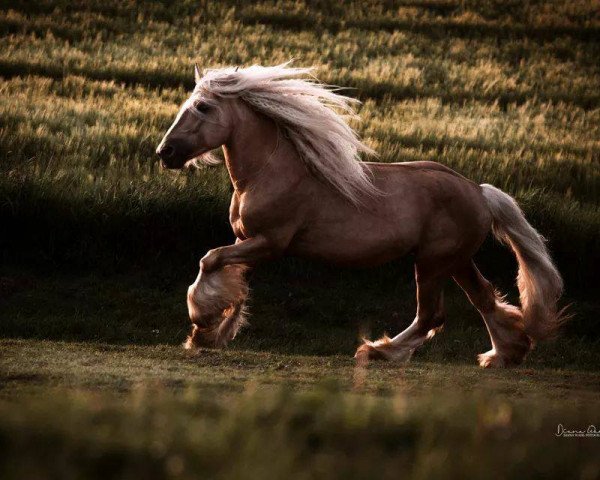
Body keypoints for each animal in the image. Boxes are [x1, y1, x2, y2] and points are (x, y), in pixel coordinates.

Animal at [156, 62, 568, 366]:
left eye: (203, 107)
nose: (165, 153)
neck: (270, 173)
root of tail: (479, 192)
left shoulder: (270, 242)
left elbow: (211, 261)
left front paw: (201, 321)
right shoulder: (247, 240)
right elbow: (236, 286)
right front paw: (209, 334)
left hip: (433, 262)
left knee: (431, 314)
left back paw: (378, 351)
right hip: (455, 260)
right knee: (482, 298)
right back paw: (504, 354)